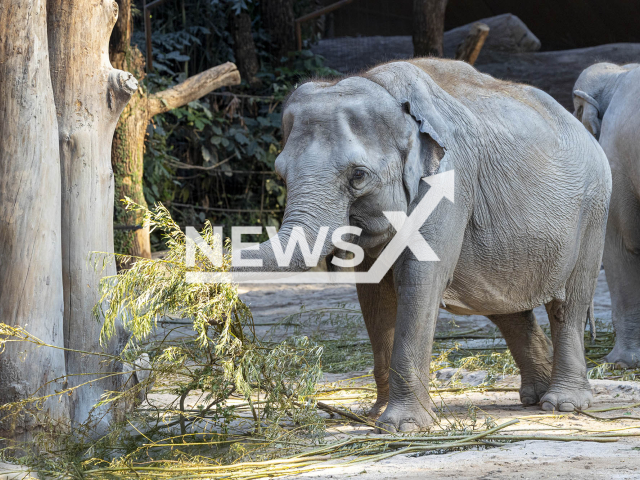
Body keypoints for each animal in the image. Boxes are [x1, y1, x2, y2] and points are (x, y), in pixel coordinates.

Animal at [239, 58, 608, 434]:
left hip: (593, 212)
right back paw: (535, 396)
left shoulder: (448, 182)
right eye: (281, 175)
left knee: (569, 303)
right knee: (506, 307)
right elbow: (373, 293)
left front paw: (402, 427)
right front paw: (376, 416)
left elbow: (420, 282)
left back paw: (562, 403)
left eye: (358, 176)